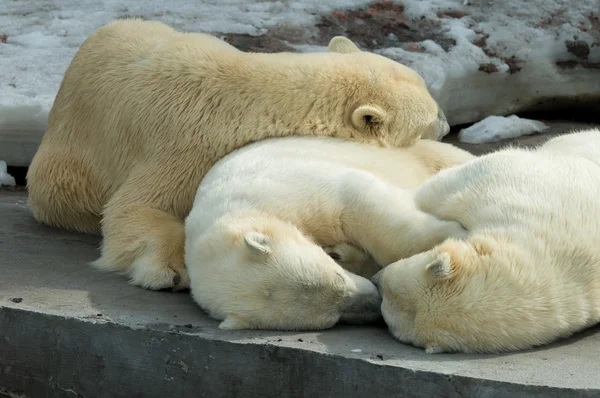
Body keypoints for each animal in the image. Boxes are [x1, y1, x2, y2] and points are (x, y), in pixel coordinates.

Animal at [28, 17, 450, 290]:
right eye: (431, 115)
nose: (447, 125)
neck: (249, 101)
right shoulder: (186, 145)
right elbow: (136, 206)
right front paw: (170, 270)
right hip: (66, 166)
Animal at [183, 137, 474, 330]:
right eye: (331, 319)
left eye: (337, 277)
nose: (375, 303)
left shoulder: (286, 187)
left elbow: (357, 197)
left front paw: (457, 231)